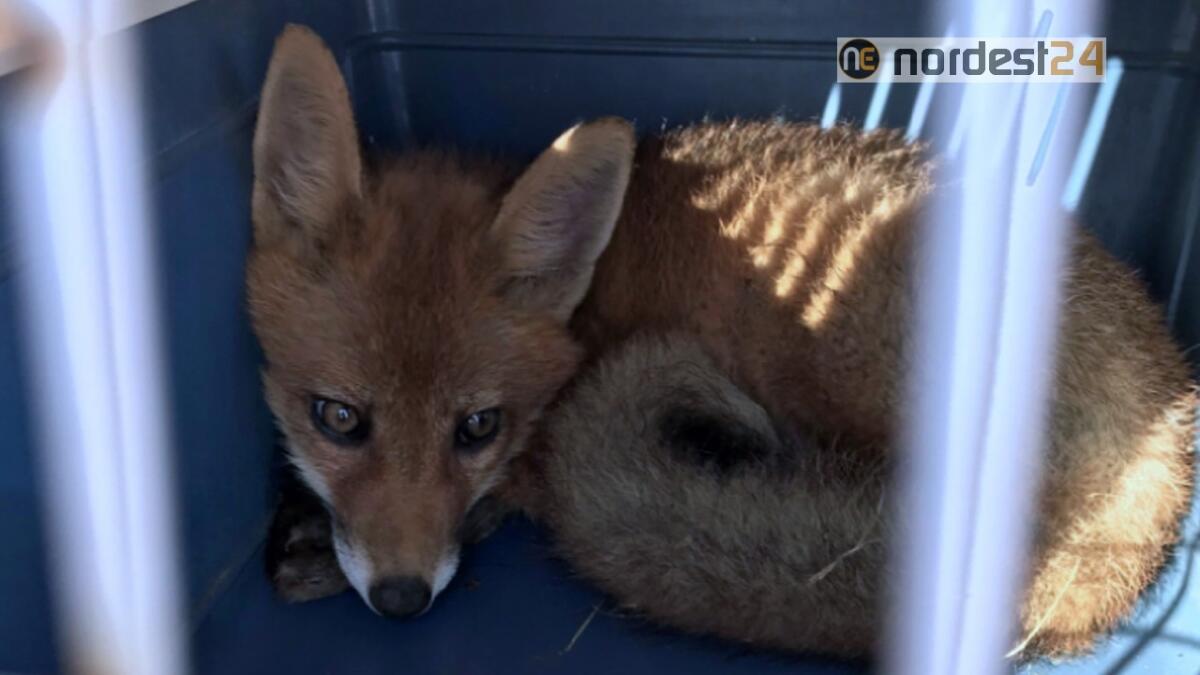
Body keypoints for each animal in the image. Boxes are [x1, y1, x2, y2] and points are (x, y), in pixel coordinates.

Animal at [247, 25, 1197, 660]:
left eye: (477, 426)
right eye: (336, 417)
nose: (401, 600)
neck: (591, 297)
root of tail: (1169, 403)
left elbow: (509, 487)